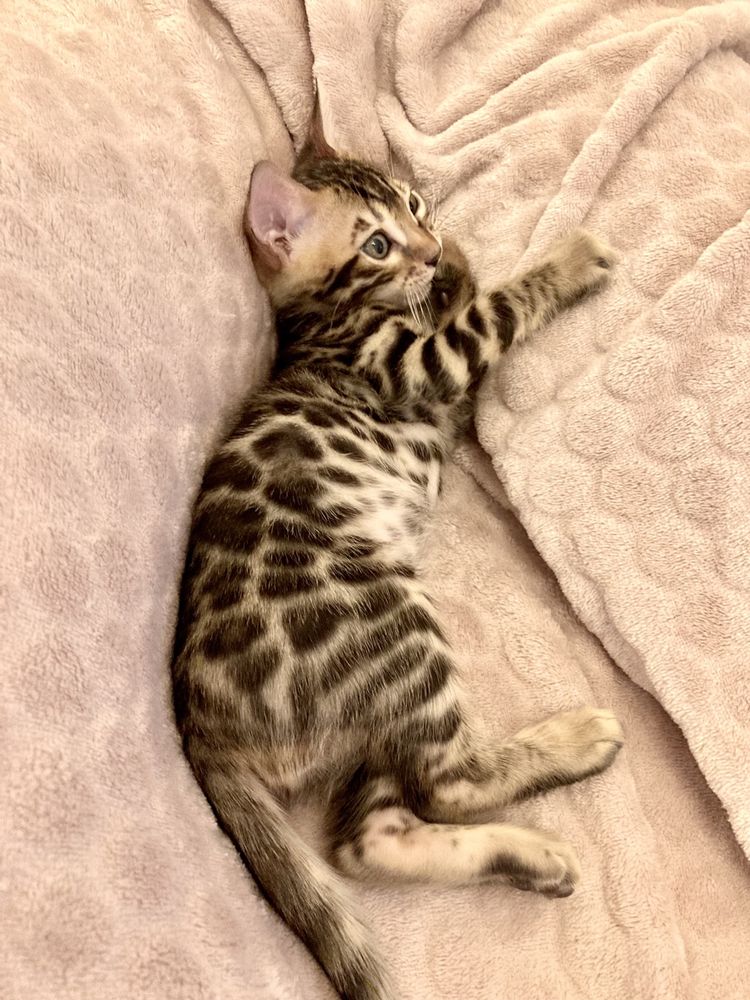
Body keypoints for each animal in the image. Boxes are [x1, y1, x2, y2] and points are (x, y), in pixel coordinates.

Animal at [171, 117, 623, 1000]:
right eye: (375, 244)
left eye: (413, 205)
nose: (428, 244)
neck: (326, 321)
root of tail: (199, 726)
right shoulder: (419, 364)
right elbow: (496, 308)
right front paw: (565, 259)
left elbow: (466, 295)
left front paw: (456, 265)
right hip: (392, 625)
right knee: (446, 785)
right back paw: (576, 740)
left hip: (376, 700)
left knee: (368, 839)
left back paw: (531, 856)